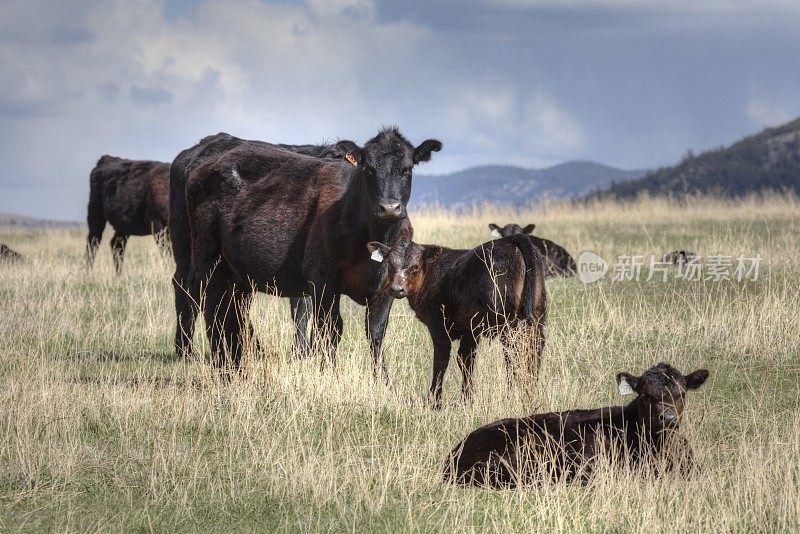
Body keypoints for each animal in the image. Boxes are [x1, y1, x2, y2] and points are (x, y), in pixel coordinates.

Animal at [171, 127, 440, 378]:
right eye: (369, 169)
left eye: (408, 169)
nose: (389, 207)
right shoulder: (322, 279)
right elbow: (328, 328)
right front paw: (327, 373)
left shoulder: (387, 286)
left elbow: (375, 332)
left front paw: (382, 380)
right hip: (203, 258)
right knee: (205, 302)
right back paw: (208, 360)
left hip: (236, 273)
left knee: (232, 311)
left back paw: (238, 360)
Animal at [368, 234, 548, 410]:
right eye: (390, 265)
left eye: (415, 267)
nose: (397, 289)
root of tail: (512, 239)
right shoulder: (471, 330)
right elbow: (466, 360)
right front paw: (466, 399)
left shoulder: (438, 326)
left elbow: (441, 361)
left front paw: (434, 402)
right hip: (536, 316)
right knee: (534, 350)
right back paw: (530, 391)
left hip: (507, 321)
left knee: (514, 354)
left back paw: (514, 394)